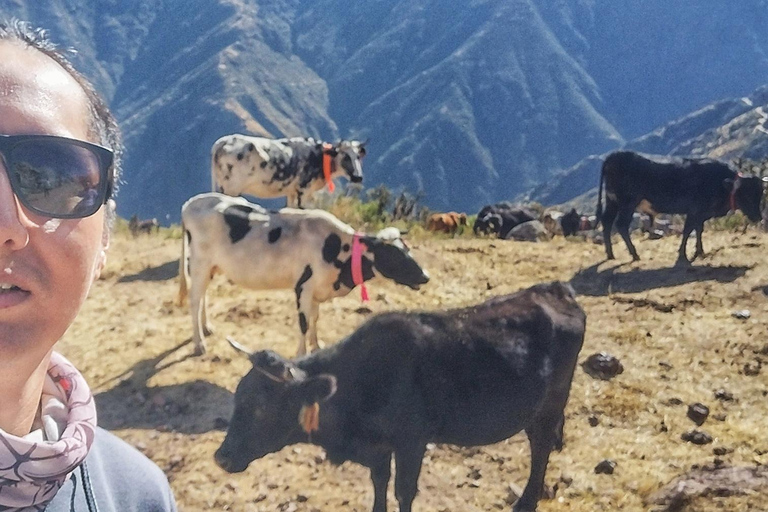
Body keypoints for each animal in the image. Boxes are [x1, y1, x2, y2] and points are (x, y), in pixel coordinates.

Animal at [176, 192, 428, 356]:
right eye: (393, 254)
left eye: (407, 248)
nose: (425, 276)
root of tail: (191, 203)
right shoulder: (303, 286)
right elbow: (304, 323)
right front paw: (302, 353)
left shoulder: (317, 289)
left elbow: (315, 318)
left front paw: (317, 345)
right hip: (199, 263)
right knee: (194, 299)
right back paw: (199, 344)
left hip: (210, 266)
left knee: (203, 295)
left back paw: (206, 328)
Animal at [210, 136, 366, 210]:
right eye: (345, 156)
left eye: (358, 157)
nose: (358, 177)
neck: (319, 157)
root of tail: (221, 142)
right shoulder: (303, 192)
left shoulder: (291, 193)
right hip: (231, 188)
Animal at [213, 282, 584, 512]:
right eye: (237, 398)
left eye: (261, 408)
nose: (221, 458)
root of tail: (556, 290)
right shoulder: (379, 448)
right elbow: (379, 482)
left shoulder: (411, 441)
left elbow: (404, 491)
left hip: (551, 402)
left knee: (540, 447)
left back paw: (525, 501)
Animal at [596, 150, 764, 264]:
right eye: (746, 195)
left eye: (760, 194)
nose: (758, 217)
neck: (719, 182)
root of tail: (614, 155)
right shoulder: (695, 210)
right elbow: (688, 230)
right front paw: (683, 254)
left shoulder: (701, 214)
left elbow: (698, 230)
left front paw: (700, 251)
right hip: (627, 203)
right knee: (621, 225)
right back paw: (635, 254)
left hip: (612, 201)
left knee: (607, 221)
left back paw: (610, 254)